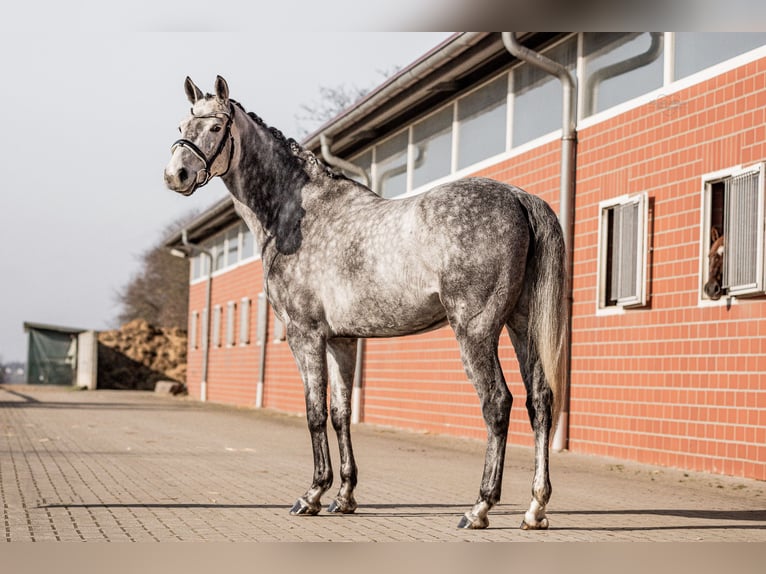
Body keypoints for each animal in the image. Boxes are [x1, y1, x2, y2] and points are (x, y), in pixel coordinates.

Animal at [164, 76, 568, 532]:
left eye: (216, 127)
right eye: (182, 124)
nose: (176, 175)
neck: (299, 216)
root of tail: (519, 198)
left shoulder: (304, 335)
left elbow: (314, 412)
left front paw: (312, 495)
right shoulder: (343, 340)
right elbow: (340, 412)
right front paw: (344, 497)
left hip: (476, 330)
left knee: (497, 403)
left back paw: (479, 507)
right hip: (522, 324)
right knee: (540, 401)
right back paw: (535, 509)